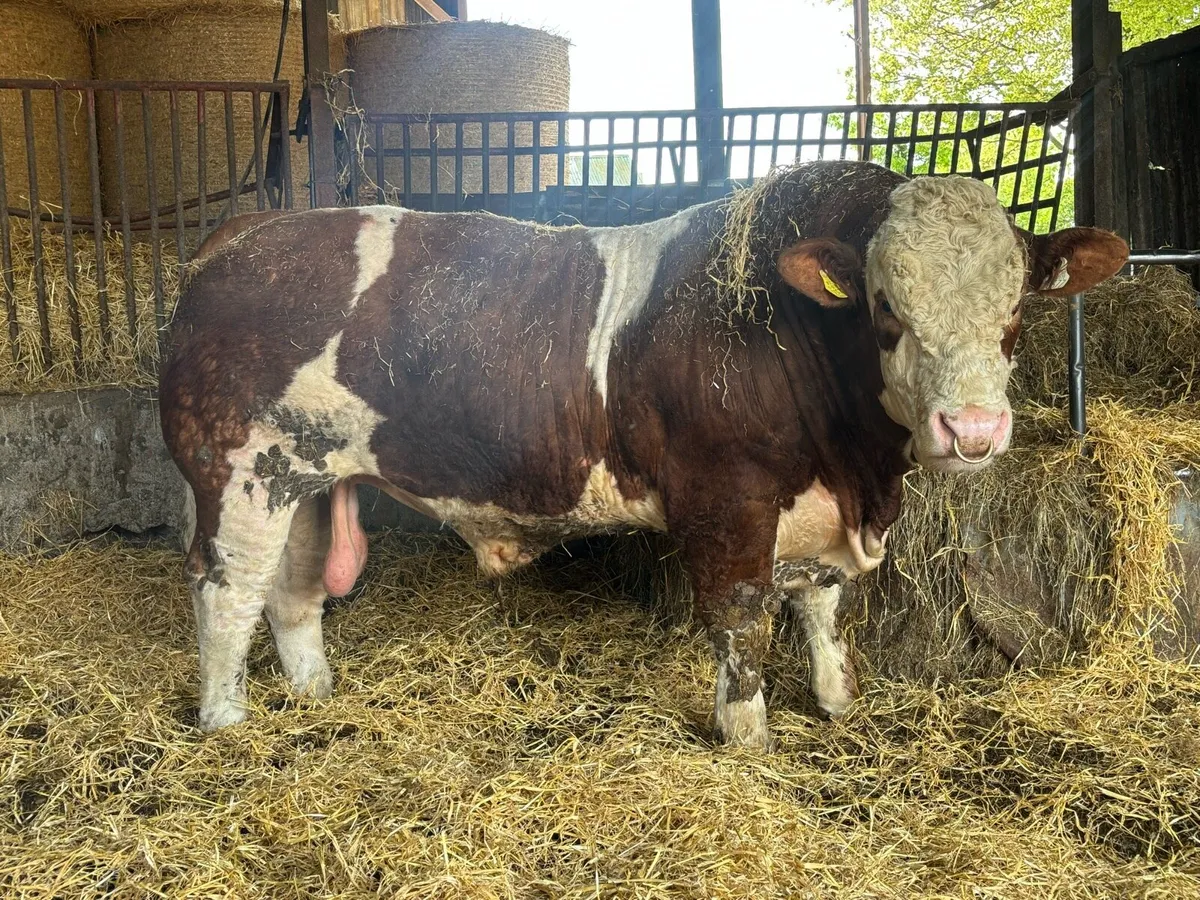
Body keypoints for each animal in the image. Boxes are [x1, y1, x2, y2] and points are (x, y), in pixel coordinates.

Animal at [160, 160, 1128, 748]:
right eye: (885, 308)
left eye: (1015, 311)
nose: (973, 431)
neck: (858, 474)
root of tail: (243, 235)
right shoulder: (728, 503)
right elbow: (741, 623)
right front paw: (748, 738)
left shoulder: (818, 515)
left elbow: (821, 609)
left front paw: (837, 702)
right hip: (236, 470)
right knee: (226, 594)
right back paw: (226, 723)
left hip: (302, 475)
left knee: (291, 592)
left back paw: (312, 695)